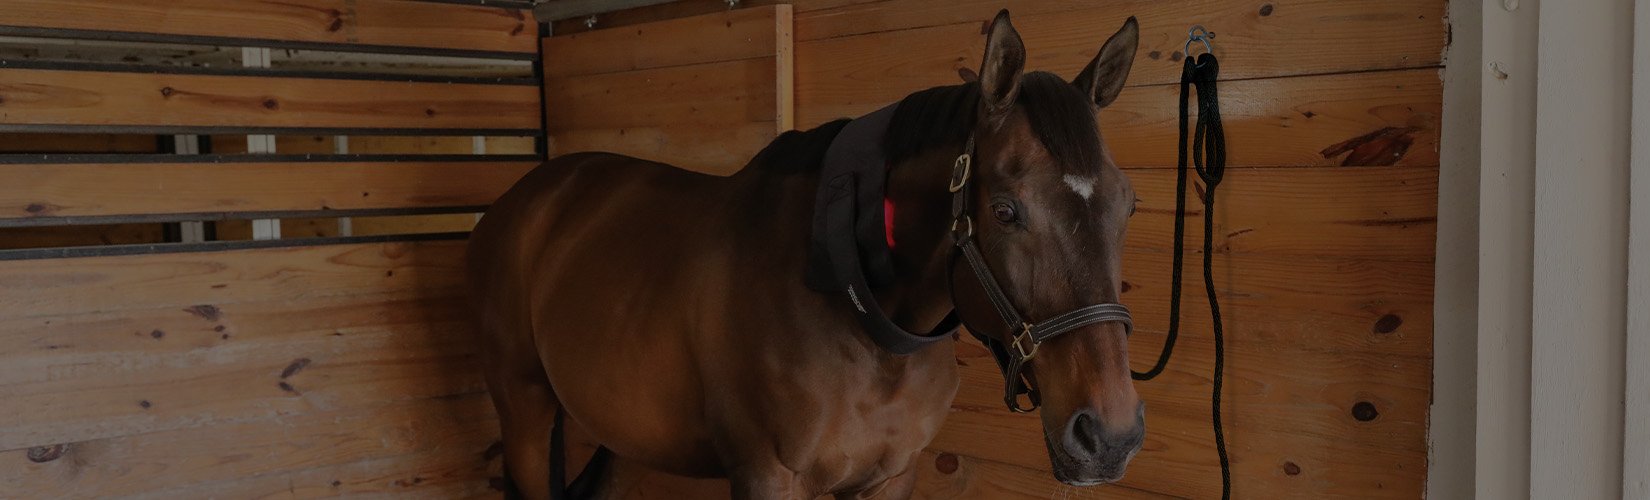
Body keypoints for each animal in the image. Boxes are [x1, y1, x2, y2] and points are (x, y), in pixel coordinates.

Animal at [466, 10, 1142, 499]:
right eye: (1005, 210)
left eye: (1127, 205)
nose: (1110, 435)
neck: (860, 311)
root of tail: (521, 202)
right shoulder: (767, 476)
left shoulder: (892, 477)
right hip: (524, 412)